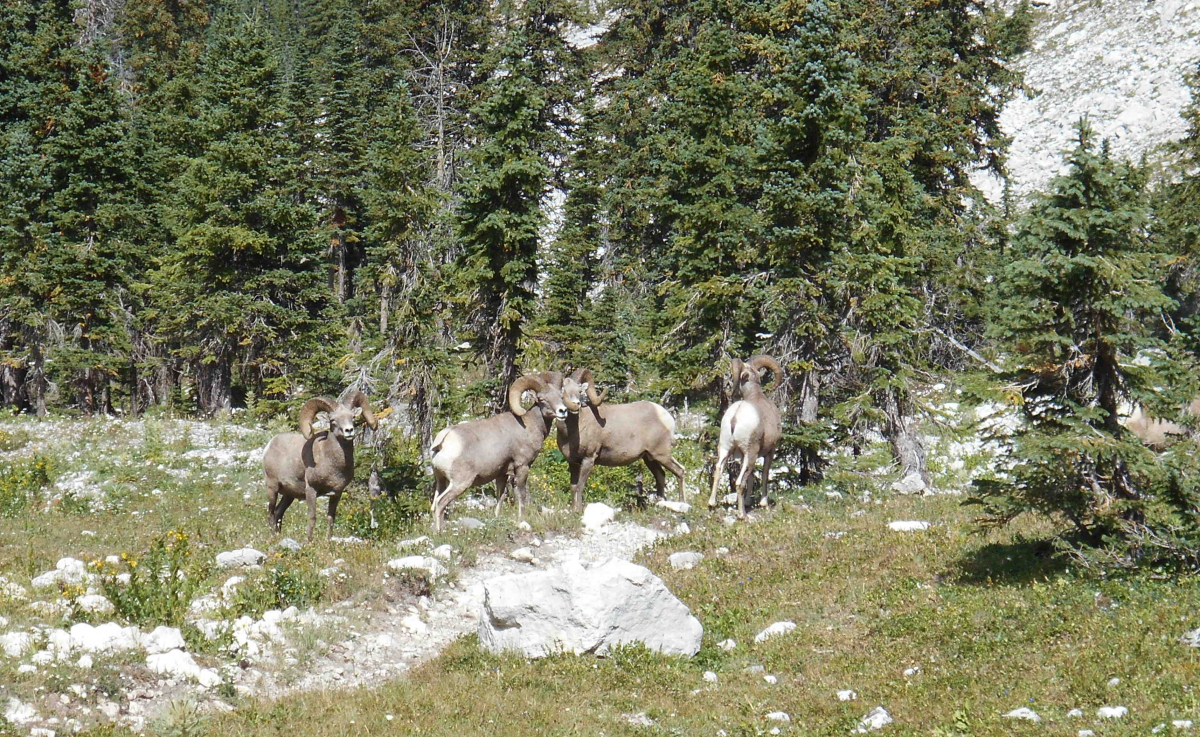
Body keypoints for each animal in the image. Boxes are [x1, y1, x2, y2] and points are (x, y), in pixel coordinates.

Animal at [262, 393, 374, 542]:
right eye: (333, 420)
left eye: (353, 417)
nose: (349, 431)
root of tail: (270, 444)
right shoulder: (311, 490)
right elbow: (312, 517)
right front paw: (309, 542)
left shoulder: (336, 493)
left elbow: (331, 518)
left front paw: (327, 542)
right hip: (272, 488)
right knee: (271, 512)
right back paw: (273, 538)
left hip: (288, 495)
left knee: (279, 512)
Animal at [427, 372, 566, 535]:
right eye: (542, 399)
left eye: (560, 396)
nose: (563, 411)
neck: (529, 425)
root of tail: (444, 439)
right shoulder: (522, 466)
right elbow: (521, 494)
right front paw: (522, 518)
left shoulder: (502, 474)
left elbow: (500, 497)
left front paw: (497, 518)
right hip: (460, 483)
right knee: (441, 503)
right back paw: (439, 533)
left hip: (441, 481)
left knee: (435, 503)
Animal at [556, 369, 691, 513]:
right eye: (563, 391)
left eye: (580, 391)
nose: (575, 405)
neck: (574, 430)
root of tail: (665, 416)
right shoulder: (573, 462)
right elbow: (573, 487)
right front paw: (573, 510)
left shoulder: (588, 459)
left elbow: (580, 486)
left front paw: (579, 511)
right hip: (649, 458)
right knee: (660, 475)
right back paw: (659, 503)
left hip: (662, 454)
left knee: (680, 471)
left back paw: (682, 503)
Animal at [705, 357, 782, 520]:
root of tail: (735, 417)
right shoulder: (769, 451)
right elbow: (764, 474)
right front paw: (763, 503)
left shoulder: (742, 456)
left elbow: (751, 477)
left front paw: (748, 501)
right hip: (750, 453)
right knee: (740, 482)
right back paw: (742, 515)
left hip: (725, 449)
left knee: (718, 470)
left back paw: (712, 504)